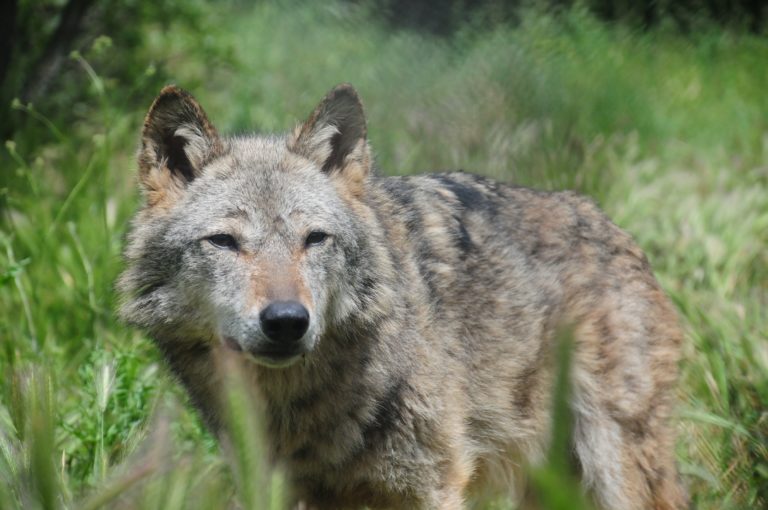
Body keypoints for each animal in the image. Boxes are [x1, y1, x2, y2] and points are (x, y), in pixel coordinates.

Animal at [121, 84, 688, 510]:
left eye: (314, 239)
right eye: (224, 242)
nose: (286, 320)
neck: (303, 409)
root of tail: (616, 229)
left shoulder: (434, 486)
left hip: (614, 468)